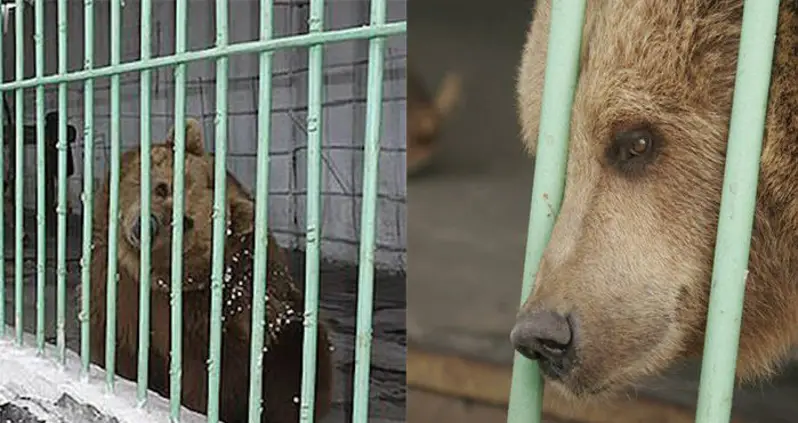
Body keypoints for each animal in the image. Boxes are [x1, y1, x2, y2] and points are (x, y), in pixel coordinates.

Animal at [88, 118, 333, 423]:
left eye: (186, 221)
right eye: (162, 188)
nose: (147, 226)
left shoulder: (206, 321)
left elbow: (203, 382)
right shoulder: (114, 286)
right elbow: (115, 341)